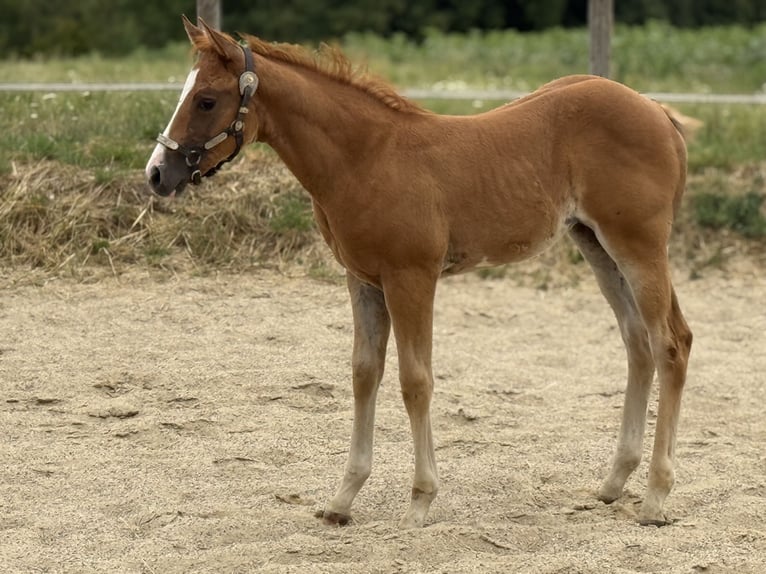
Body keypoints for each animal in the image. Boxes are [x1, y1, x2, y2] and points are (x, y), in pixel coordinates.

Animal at [145, 17, 693, 529]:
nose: (157, 174)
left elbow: (415, 381)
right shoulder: (362, 279)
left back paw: (656, 496)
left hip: (638, 246)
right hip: (596, 244)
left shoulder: (411, 277)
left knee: (670, 343)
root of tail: (658, 113)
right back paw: (615, 482)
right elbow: (364, 374)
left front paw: (420, 501)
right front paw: (342, 500)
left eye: (207, 101)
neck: (366, 157)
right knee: (638, 342)